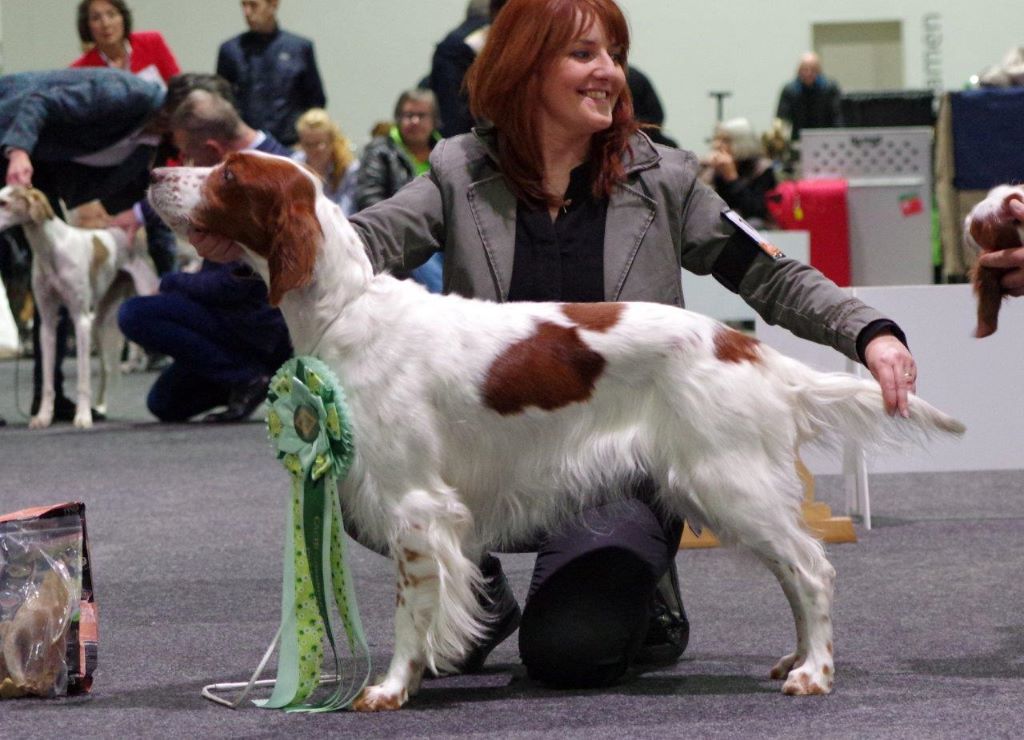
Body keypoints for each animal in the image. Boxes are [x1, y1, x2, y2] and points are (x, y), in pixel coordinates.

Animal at [0, 185, 157, 427]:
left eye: (4, 203)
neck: (51, 248)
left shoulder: (80, 320)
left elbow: (83, 380)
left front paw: (82, 417)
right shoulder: (47, 323)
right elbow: (48, 380)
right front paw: (44, 417)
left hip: (143, 294)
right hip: (100, 324)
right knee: (105, 368)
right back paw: (100, 407)